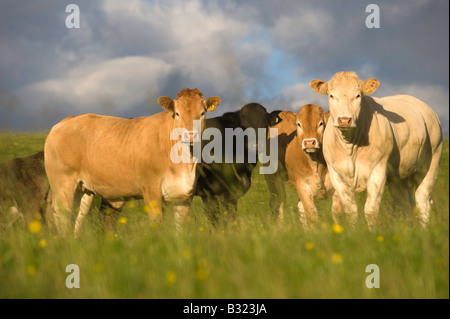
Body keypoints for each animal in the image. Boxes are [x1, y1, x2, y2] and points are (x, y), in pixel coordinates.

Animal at [310, 71, 442, 229]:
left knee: (422, 200)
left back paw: (423, 231)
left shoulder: (378, 170)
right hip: (399, 177)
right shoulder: (336, 175)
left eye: (358, 95)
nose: (344, 120)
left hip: (431, 161)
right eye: (331, 95)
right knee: (406, 203)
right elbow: (351, 211)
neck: (350, 147)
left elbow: (371, 210)